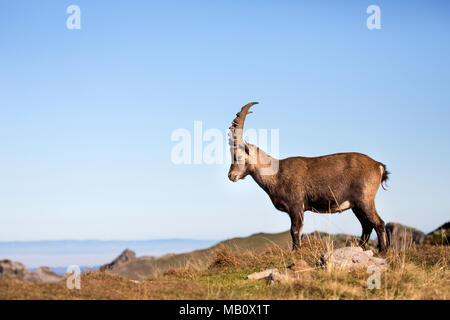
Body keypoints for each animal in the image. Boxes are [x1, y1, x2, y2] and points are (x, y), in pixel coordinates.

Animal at [229, 102, 390, 252]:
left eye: (239, 156)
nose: (231, 175)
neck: (276, 174)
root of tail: (378, 165)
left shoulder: (296, 206)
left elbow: (295, 230)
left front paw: (295, 251)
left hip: (365, 200)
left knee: (378, 223)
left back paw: (382, 251)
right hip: (356, 205)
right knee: (367, 226)